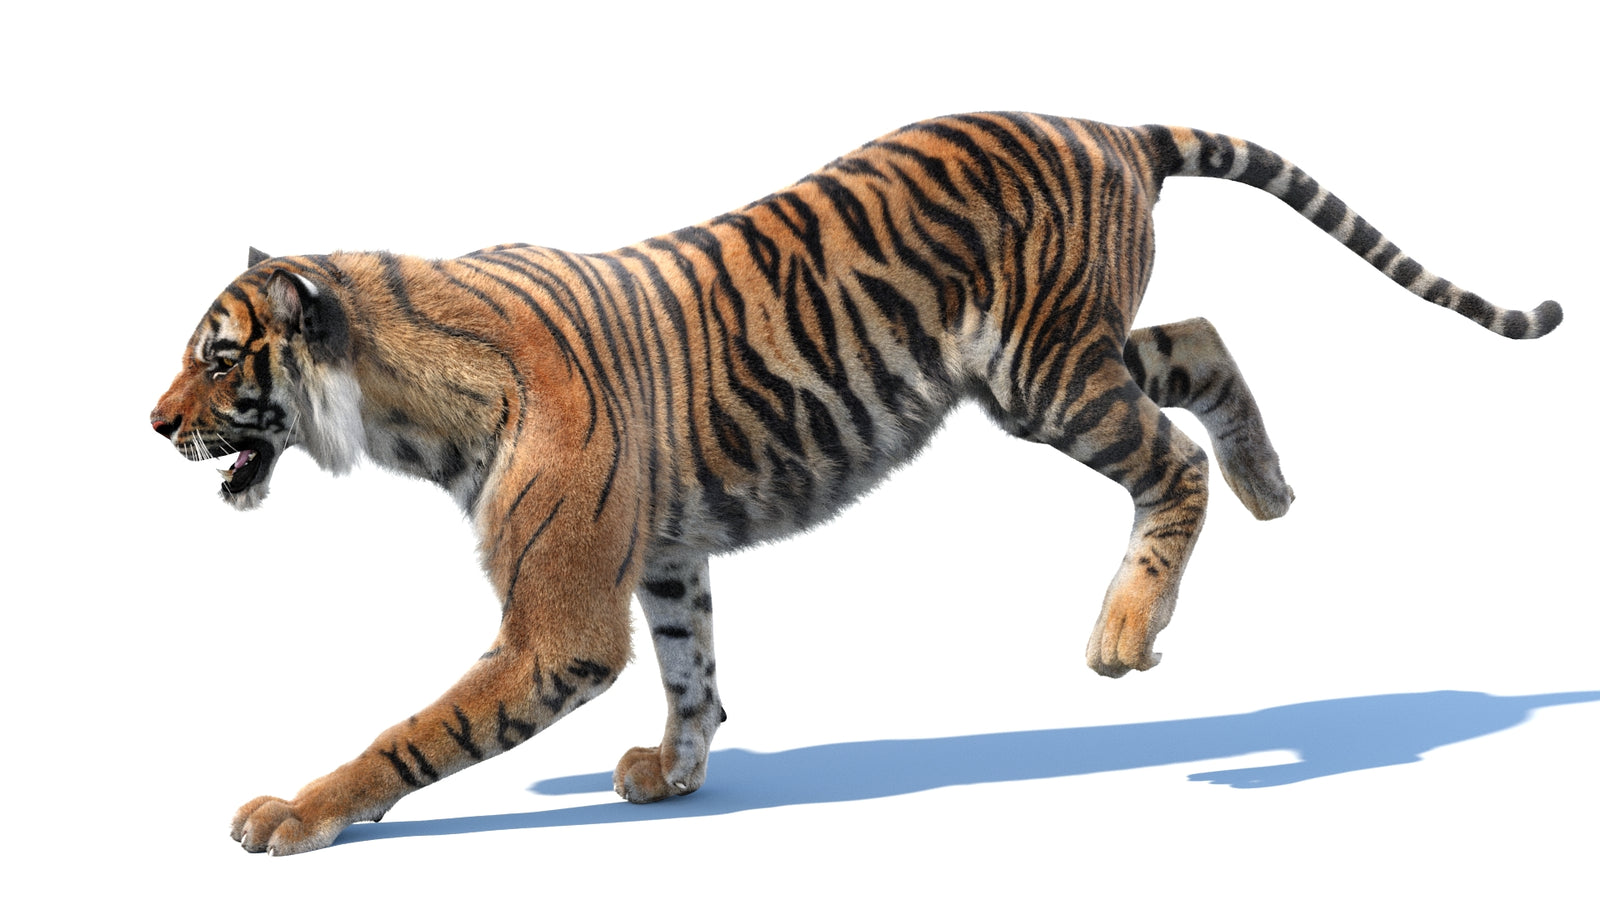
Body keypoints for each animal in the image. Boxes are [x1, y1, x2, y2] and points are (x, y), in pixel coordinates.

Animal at [151, 112, 1562, 855]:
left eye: (218, 358)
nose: (152, 424)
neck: (403, 403)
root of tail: (1108, 124)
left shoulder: (557, 623)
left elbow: (413, 731)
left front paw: (293, 814)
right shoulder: (665, 555)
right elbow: (695, 669)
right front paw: (674, 773)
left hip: (1046, 374)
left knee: (1166, 465)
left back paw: (1124, 630)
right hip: (1082, 351)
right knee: (1204, 341)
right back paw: (1270, 485)